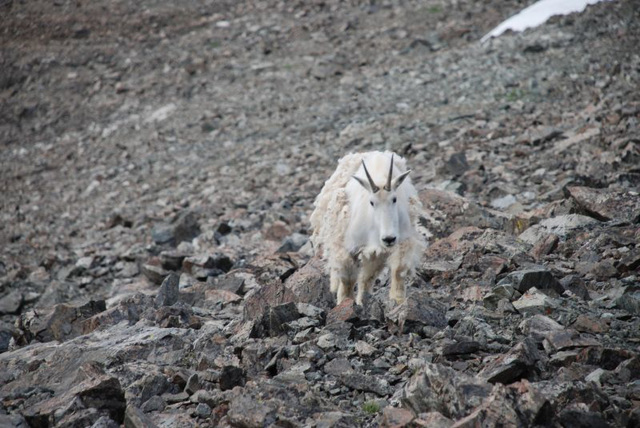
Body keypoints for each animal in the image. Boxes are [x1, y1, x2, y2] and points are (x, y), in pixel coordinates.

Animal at [310, 150, 424, 304]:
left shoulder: (400, 242)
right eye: (371, 202)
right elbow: (348, 278)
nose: (388, 239)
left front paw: (398, 301)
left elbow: (398, 270)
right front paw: (345, 302)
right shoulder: (350, 246)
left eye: (394, 199)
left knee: (367, 277)